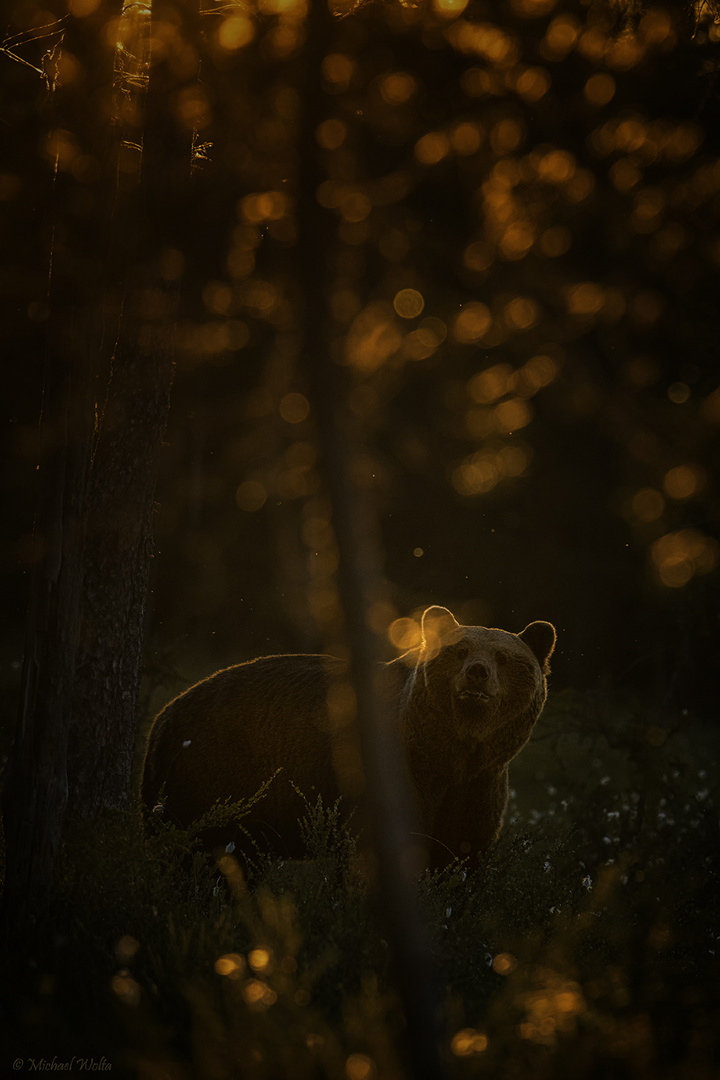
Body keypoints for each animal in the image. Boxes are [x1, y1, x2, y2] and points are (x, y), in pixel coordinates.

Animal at [142, 609, 557, 868]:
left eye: (503, 656)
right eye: (460, 650)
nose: (477, 673)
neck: (454, 751)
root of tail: (164, 713)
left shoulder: (480, 785)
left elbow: (462, 853)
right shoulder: (401, 772)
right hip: (210, 769)